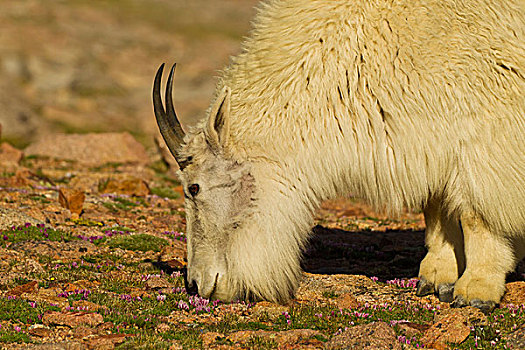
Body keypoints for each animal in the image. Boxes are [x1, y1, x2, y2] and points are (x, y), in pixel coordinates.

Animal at [154, 0, 520, 312]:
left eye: (194, 188)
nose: (197, 284)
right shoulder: (429, 140)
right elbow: (436, 206)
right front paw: (435, 277)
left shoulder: (486, 130)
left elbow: (476, 214)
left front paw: (475, 291)